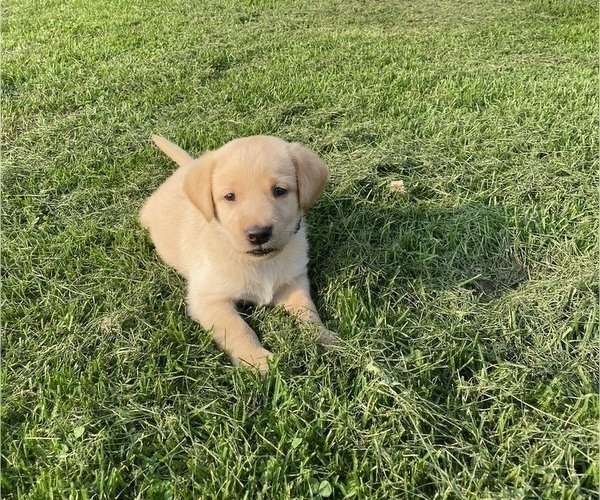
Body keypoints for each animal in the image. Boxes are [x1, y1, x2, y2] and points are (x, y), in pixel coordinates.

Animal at [141, 135, 338, 374]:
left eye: (280, 190)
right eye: (229, 196)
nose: (259, 234)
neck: (259, 263)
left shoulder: (294, 281)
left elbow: (308, 311)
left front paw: (325, 338)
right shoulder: (207, 299)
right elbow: (238, 328)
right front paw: (257, 360)